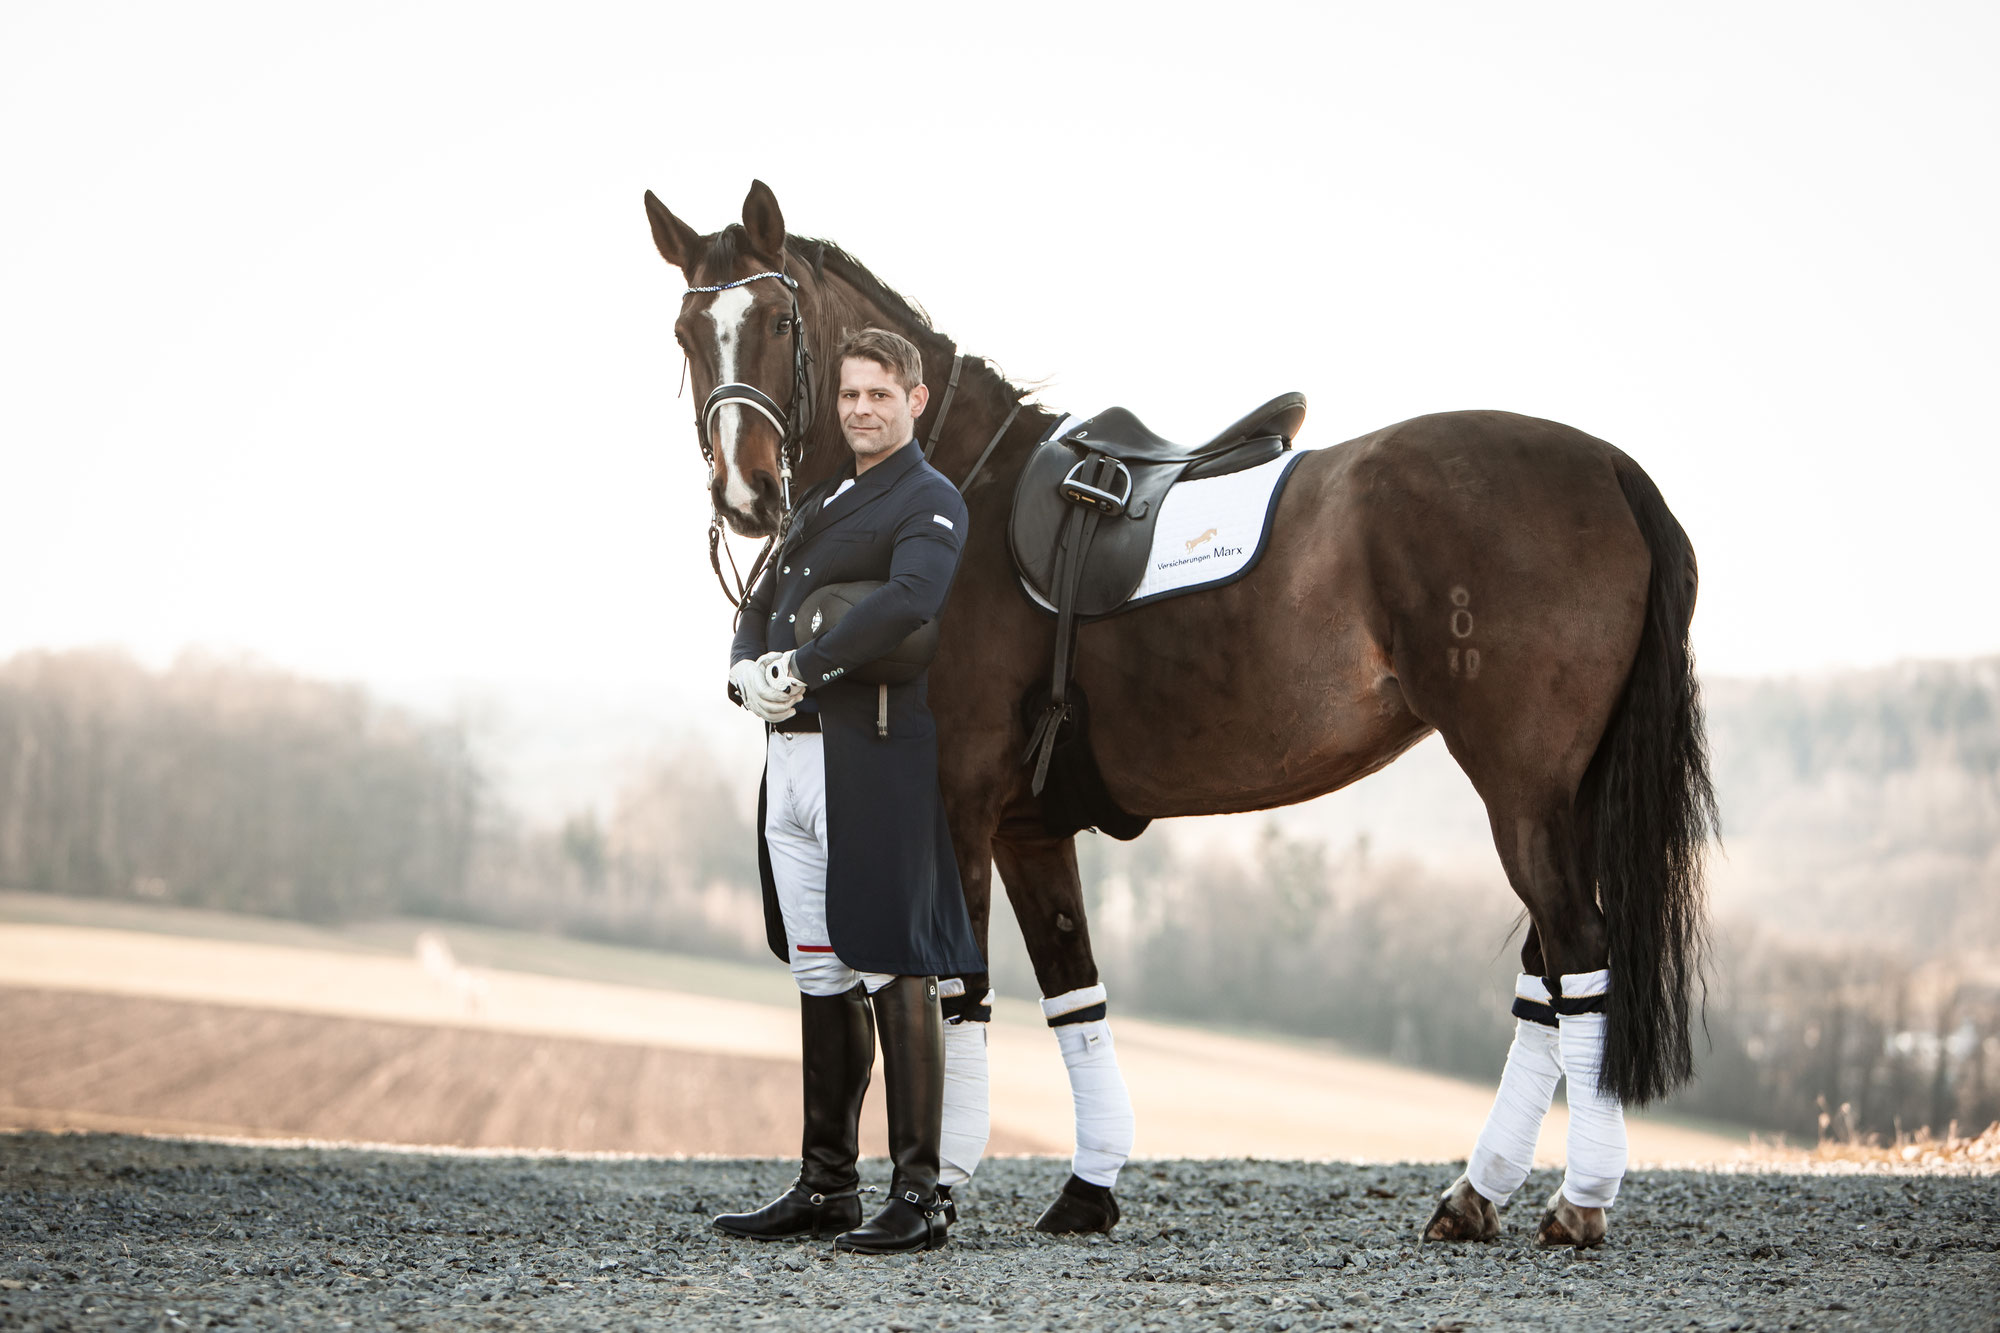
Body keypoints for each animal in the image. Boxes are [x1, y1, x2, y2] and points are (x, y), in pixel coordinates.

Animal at [644, 179, 1720, 1248]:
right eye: (688, 332)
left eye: (780, 321)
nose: (746, 492)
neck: (962, 490)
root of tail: (1610, 468)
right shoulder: (1029, 827)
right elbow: (1072, 989)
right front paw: (1087, 1188)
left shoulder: (954, 805)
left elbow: (957, 989)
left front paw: (933, 1191)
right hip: (1562, 796)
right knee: (1548, 971)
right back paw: (1477, 1191)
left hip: (1522, 790)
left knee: (1577, 954)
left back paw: (1576, 1198)